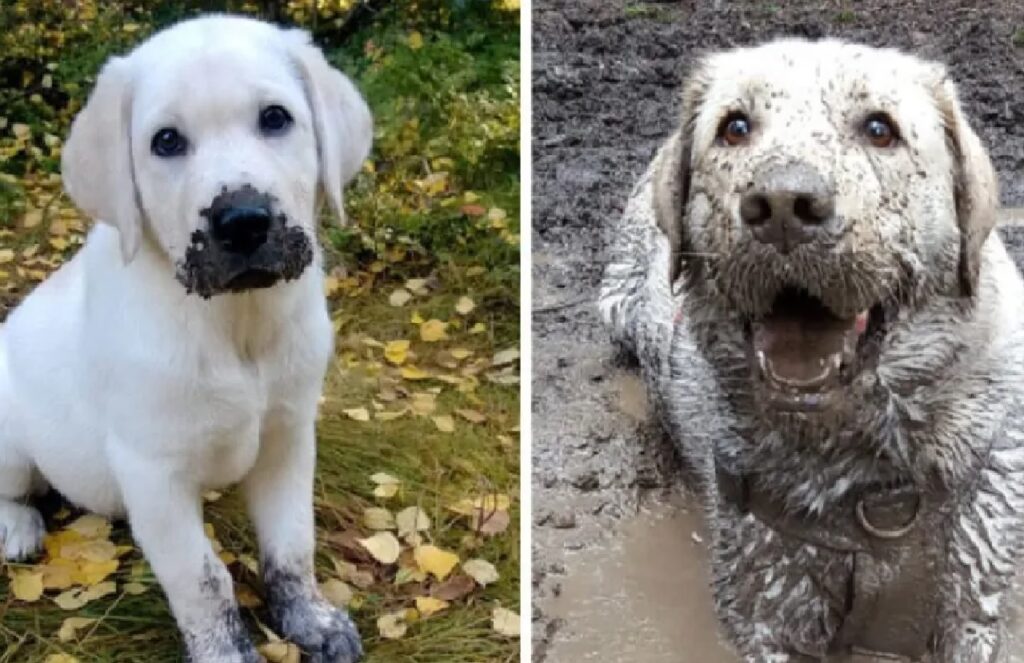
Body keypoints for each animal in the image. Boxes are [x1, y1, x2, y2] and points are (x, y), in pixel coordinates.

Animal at [0, 15, 372, 663]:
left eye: (275, 118)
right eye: (167, 141)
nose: (243, 222)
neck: (237, 323)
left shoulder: (288, 436)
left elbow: (292, 542)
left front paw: (311, 619)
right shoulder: (154, 472)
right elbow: (202, 578)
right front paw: (227, 653)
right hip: (10, 439)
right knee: (13, 489)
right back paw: (19, 526)